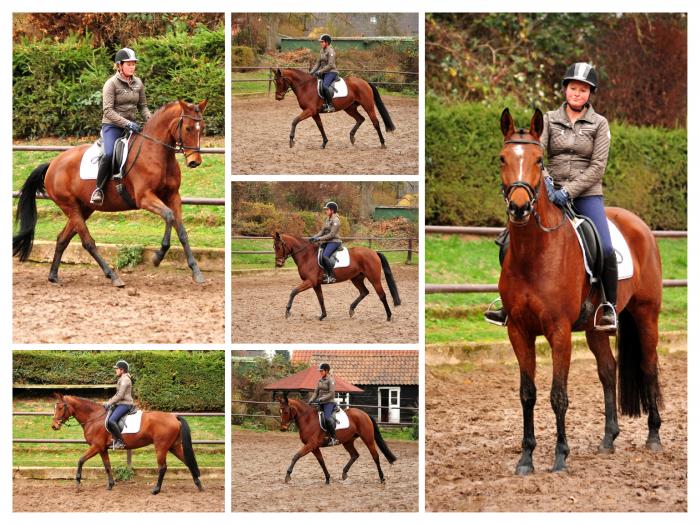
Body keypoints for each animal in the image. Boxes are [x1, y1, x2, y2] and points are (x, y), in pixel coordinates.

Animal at [13, 98, 208, 286]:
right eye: (188, 128)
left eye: (203, 127)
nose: (194, 161)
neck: (157, 153)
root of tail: (53, 164)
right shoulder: (145, 198)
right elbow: (169, 216)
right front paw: (158, 257)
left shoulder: (173, 196)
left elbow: (182, 231)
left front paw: (196, 272)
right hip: (69, 206)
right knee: (88, 242)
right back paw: (113, 276)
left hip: (84, 208)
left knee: (62, 239)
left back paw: (53, 276)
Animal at [51, 390, 202, 494]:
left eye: (61, 407)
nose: (54, 426)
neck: (94, 417)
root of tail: (174, 417)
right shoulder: (102, 449)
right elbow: (107, 466)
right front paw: (110, 485)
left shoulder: (96, 446)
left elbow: (81, 460)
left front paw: (77, 484)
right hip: (173, 446)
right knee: (188, 462)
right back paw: (199, 485)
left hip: (161, 447)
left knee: (162, 467)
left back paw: (156, 490)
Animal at [498, 107, 660, 474]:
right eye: (502, 158)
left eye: (538, 160)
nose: (519, 208)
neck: (534, 253)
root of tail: (639, 224)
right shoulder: (518, 330)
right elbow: (527, 393)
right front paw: (526, 458)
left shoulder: (559, 331)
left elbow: (558, 395)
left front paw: (560, 457)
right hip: (595, 328)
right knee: (608, 370)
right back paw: (608, 439)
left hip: (646, 315)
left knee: (648, 366)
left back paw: (654, 436)